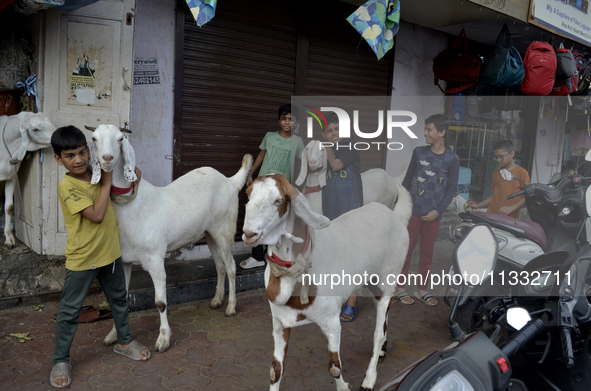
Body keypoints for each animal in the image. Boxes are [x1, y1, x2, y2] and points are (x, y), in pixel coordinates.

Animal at [89, 124, 252, 354]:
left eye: (120, 138)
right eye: (94, 138)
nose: (107, 158)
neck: (132, 207)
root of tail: (230, 181)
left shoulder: (155, 259)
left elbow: (160, 302)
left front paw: (163, 340)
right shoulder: (125, 261)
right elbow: (120, 300)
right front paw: (113, 334)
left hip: (224, 230)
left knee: (230, 267)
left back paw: (230, 307)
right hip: (209, 233)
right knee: (219, 266)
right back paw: (217, 300)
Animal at [240, 175, 412, 391]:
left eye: (278, 201)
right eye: (248, 195)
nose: (249, 234)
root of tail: (396, 217)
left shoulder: (331, 321)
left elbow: (334, 367)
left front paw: (345, 386)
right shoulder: (279, 323)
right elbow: (275, 370)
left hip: (389, 275)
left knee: (378, 332)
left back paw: (369, 379)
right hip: (373, 282)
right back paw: (381, 351)